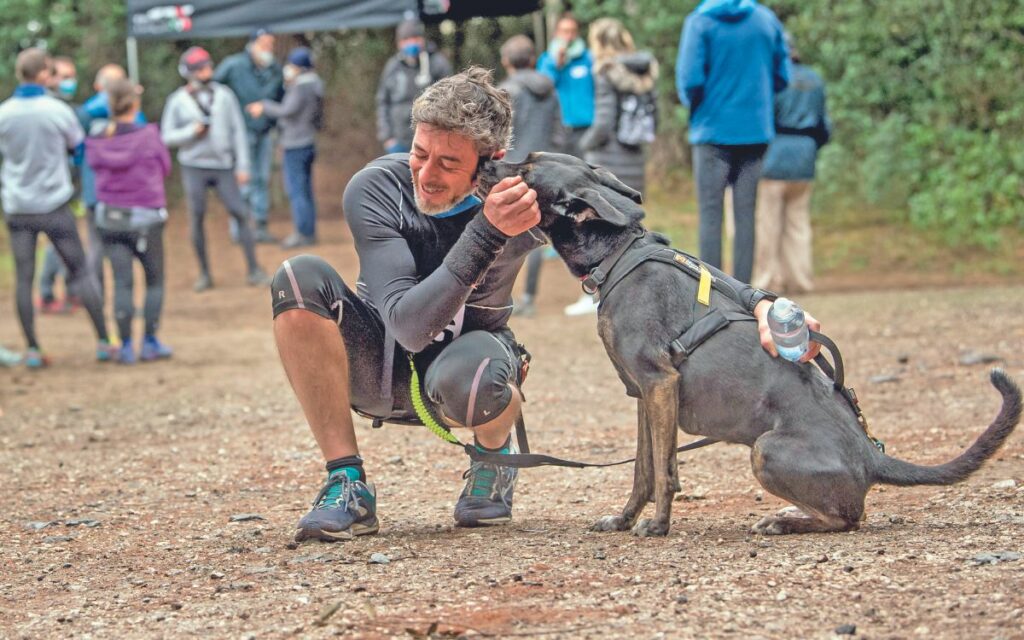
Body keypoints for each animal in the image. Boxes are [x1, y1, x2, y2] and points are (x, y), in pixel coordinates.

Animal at [479, 152, 1024, 536]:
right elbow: (644, 469)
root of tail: (873, 457)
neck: (618, 253)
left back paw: (783, 520)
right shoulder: (645, 395)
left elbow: (663, 473)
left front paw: (657, 525)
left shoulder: (659, 383)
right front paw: (624, 519)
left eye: (525, 170)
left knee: (848, 517)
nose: (485, 161)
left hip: (765, 450)